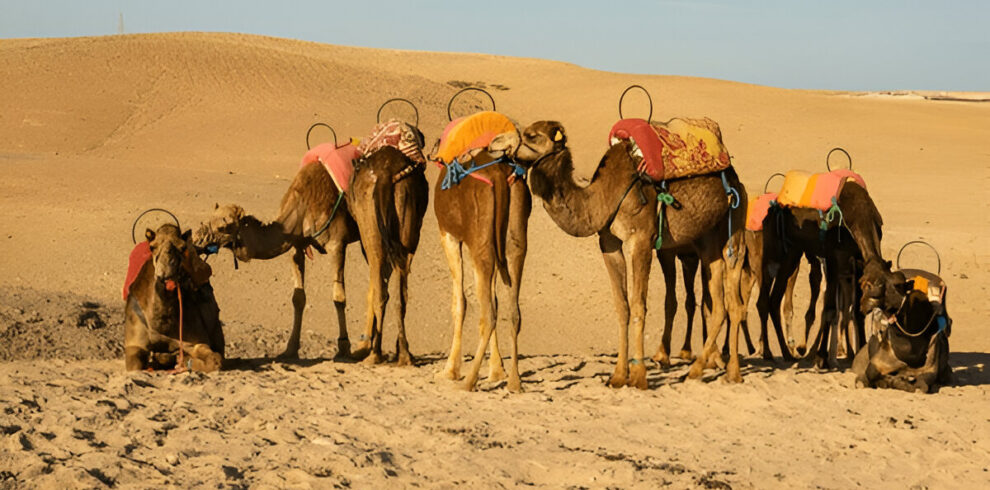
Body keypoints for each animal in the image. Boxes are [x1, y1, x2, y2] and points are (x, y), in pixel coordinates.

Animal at [124, 224, 224, 372]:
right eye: (152, 247)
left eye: (183, 247)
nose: (165, 272)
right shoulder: (134, 343)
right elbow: (135, 365)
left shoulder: (195, 341)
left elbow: (214, 360)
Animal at [192, 159, 361, 359]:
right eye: (207, 219)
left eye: (223, 227)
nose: (196, 240)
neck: (302, 207)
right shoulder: (297, 246)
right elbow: (298, 298)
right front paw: (290, 349)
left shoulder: (337, 244)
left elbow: (339, 297)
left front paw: (344, 349)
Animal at [345, 142, 429, 365]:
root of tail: (384, 174)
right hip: (406, 226)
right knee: (400, 295)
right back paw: (404, 355)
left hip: (371, 230)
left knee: (381, 291)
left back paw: (375, 354)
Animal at [434, 134, 532, 392]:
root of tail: (497, 175)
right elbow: (493, 298)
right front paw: (497, 371)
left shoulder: (449, 235)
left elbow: (459, 302)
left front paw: (450, 370)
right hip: (513, 241)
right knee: (512, 311)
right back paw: (514, 382)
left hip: (480, 243)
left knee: (489, 314)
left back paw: (469, 381)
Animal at [515, 120, 749, 387]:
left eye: (532, 135)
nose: (506, 150)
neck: (603, 197)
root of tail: (735, 177)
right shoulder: (609, 243)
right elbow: (622, 306)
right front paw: (617, 376)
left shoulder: (641, 240)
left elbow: (638, 305)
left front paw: (638, 376)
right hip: (707, 241)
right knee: (718, 305)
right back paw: (702, 370)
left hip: (735, 225)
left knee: (734, 301)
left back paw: (728, 372)